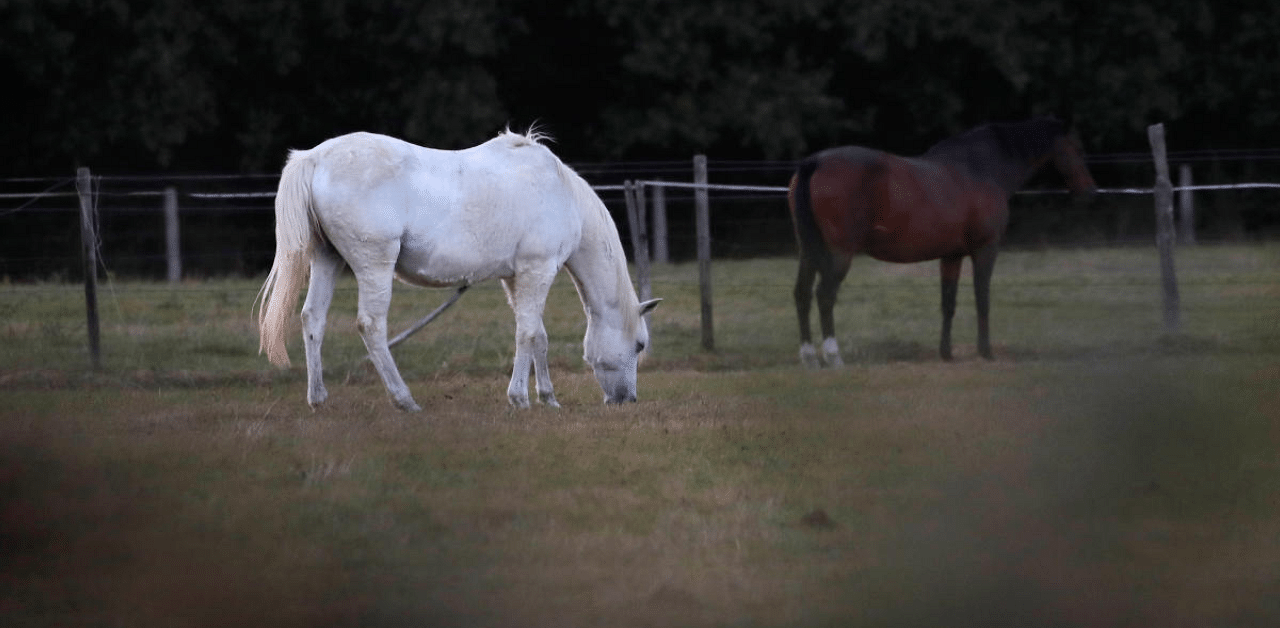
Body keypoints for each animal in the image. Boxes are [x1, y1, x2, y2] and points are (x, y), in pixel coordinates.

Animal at [256, 129, 665, 411]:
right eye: (639, 344)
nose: (626, 400)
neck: (562, 194)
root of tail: (315, 158)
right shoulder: (538, 270)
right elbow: (528, 333)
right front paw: (520, 398)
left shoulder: (515, 278)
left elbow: (538, 335)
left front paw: (548, 398)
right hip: (374, 264)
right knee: (371, 326)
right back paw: (405, 400)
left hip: (327, 260)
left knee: (312, 319)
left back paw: (318, 398)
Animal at [783, 117, 1095, 368]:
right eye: (1076, 148)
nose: (1090, 191)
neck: (980, 169)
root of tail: (815, 162)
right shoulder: (985, 249)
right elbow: (982, 299)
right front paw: (986, 352)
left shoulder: (951, 256)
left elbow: (948, 302)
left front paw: (947, 354)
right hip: (839, 253)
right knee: (824, 295)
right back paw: (834, 356)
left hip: (808, 251)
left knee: (802, 294)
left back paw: (809, 358)